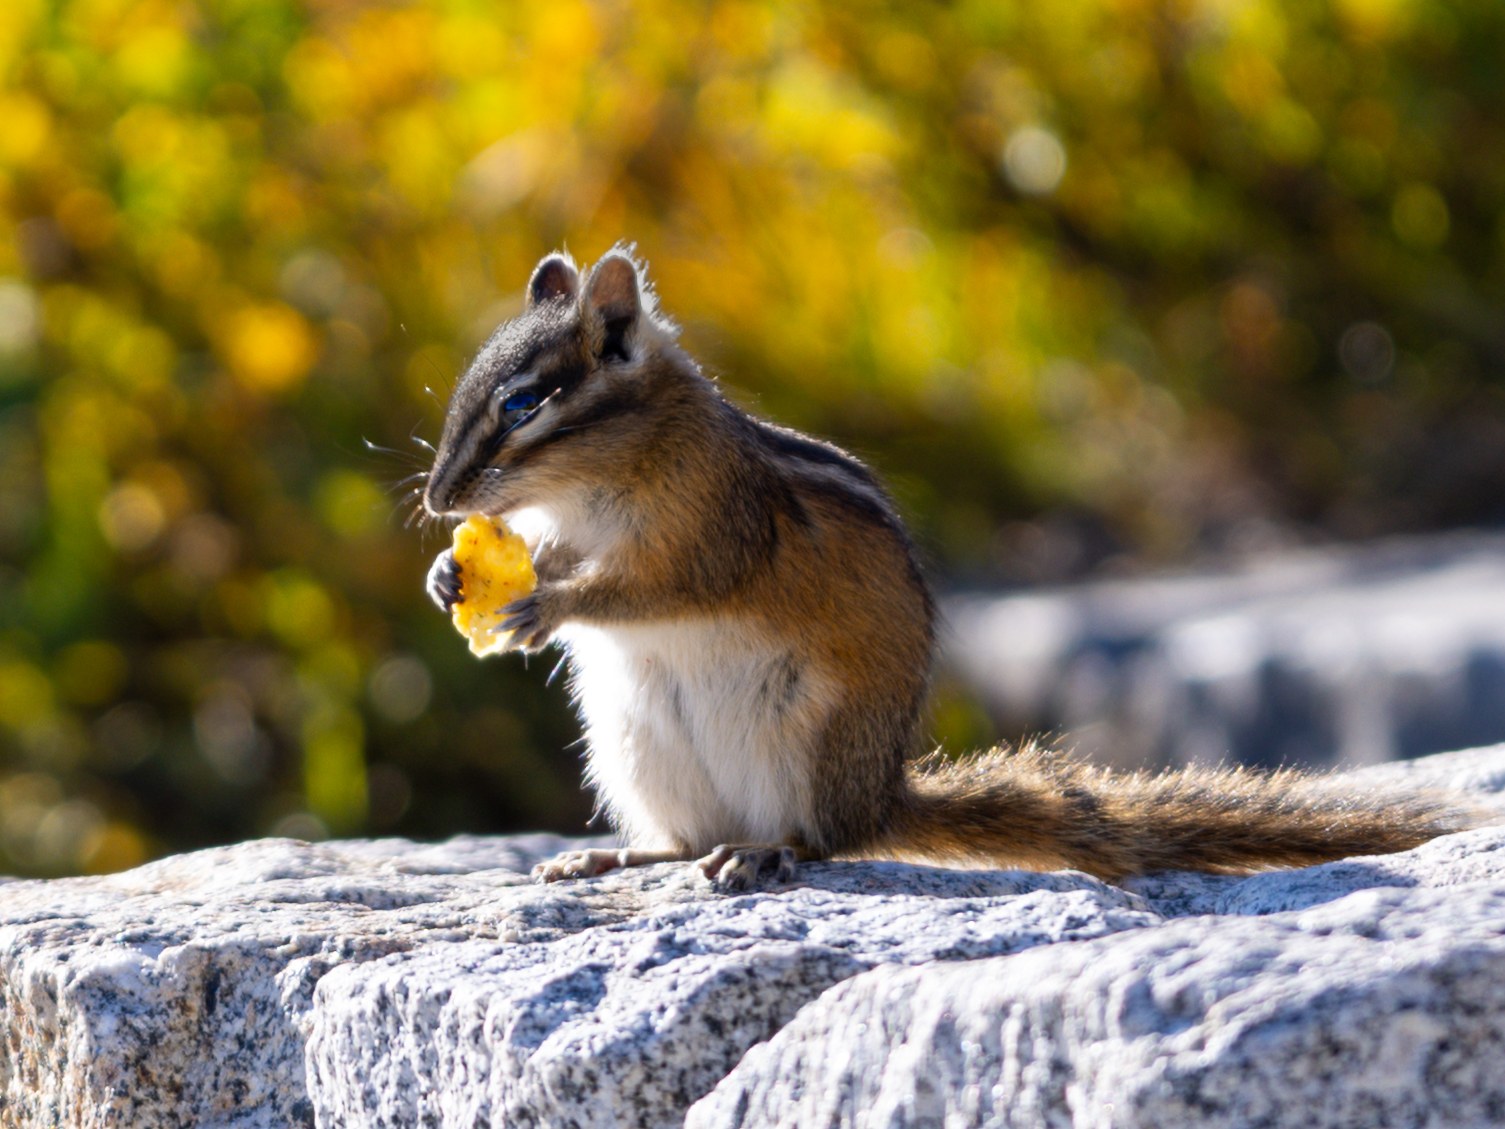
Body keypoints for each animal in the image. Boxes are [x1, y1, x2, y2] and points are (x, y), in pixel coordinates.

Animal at [422, 246, 1470, 891]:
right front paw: (448, 576)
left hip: (800, 739)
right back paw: (608, 859)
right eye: (471, 389)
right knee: (680, 843)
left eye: (521, 405)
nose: (437, 499)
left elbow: (656, 587)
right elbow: (556, 557)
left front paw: (547, 605)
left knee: (819, 841)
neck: (603, 476)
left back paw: (761, 853)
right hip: (636, 744)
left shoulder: (715, 523)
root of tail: (879, 794)